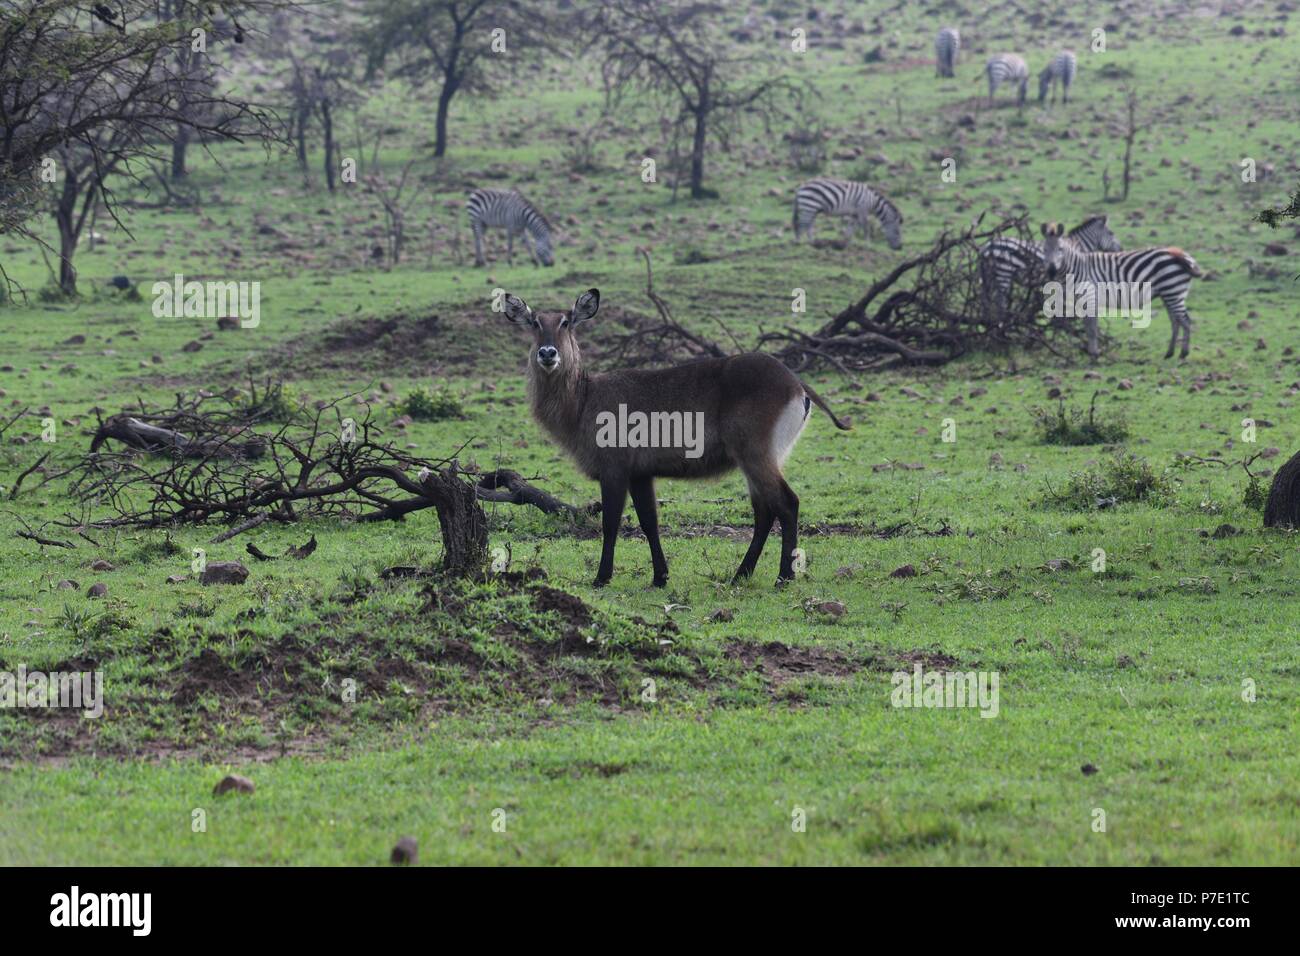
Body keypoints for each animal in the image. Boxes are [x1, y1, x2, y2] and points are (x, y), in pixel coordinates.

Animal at [977, 214, 1123, 319]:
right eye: (1111, 233)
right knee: (1000, 301)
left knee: (986, 299)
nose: (1121, 249)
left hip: (991, 276)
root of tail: (988, 246)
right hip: (1004, 272)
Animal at [1034, 222, 1206, 361]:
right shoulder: (1081, 301)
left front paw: (1094, 355)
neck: (1077, 267)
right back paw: (1169, 353)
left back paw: (1183, 353)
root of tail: (1182, 254)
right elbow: (1088, 327)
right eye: (1044, 249)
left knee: (1185, 320)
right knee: (1175, 321)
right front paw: (1092, 352)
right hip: (1168, 293)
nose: (1051, 271)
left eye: (1060, 249)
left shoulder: (1090, 296)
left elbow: (1092, 328)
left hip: (1173, 290)